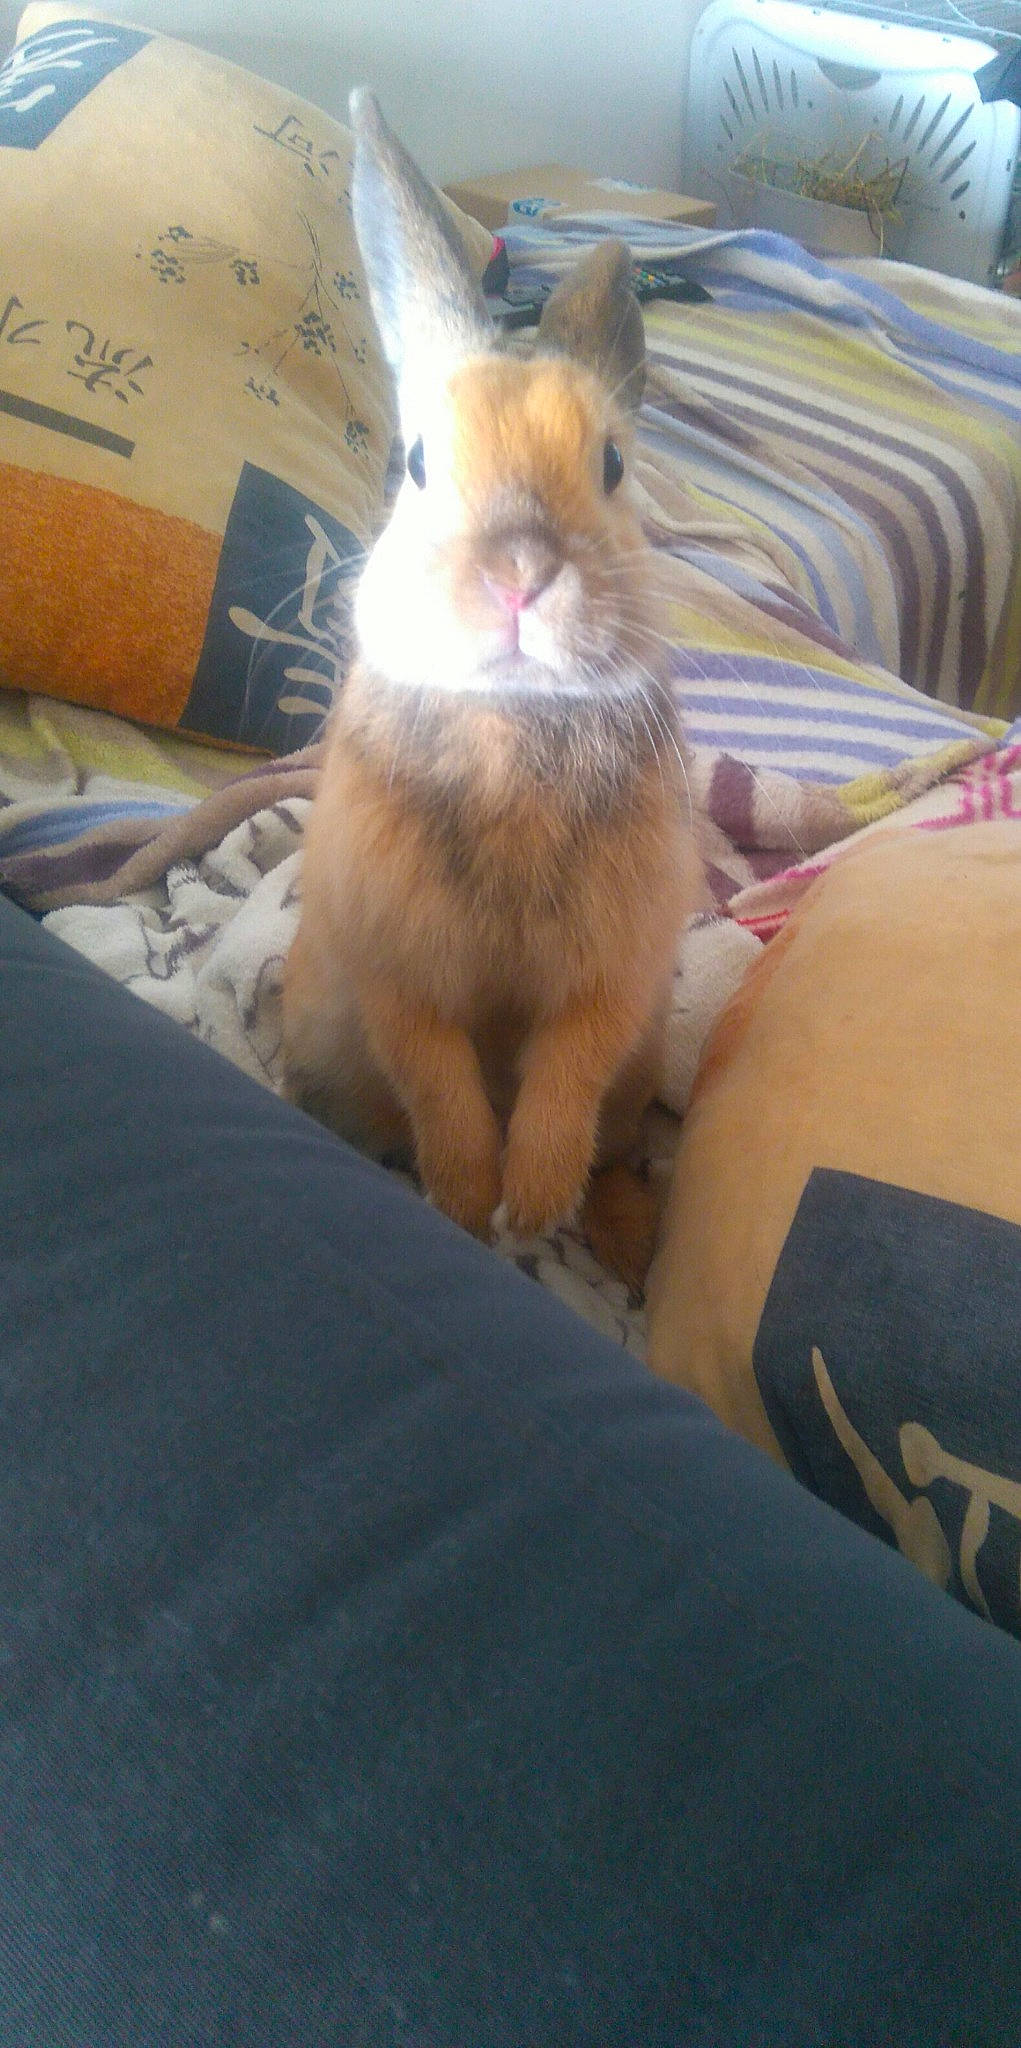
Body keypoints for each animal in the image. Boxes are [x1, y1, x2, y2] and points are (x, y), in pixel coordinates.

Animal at [281, 89, 702, 1272]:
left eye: (612, 464)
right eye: (416, 462)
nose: (520, 574)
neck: (512, 720)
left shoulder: (613, 976)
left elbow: (565, 1071)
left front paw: (533, 1201)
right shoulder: (396, 970)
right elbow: (438, 1076)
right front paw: (470, 1203)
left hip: (643, 1068)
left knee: (618, 1145)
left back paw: (620, 1240)